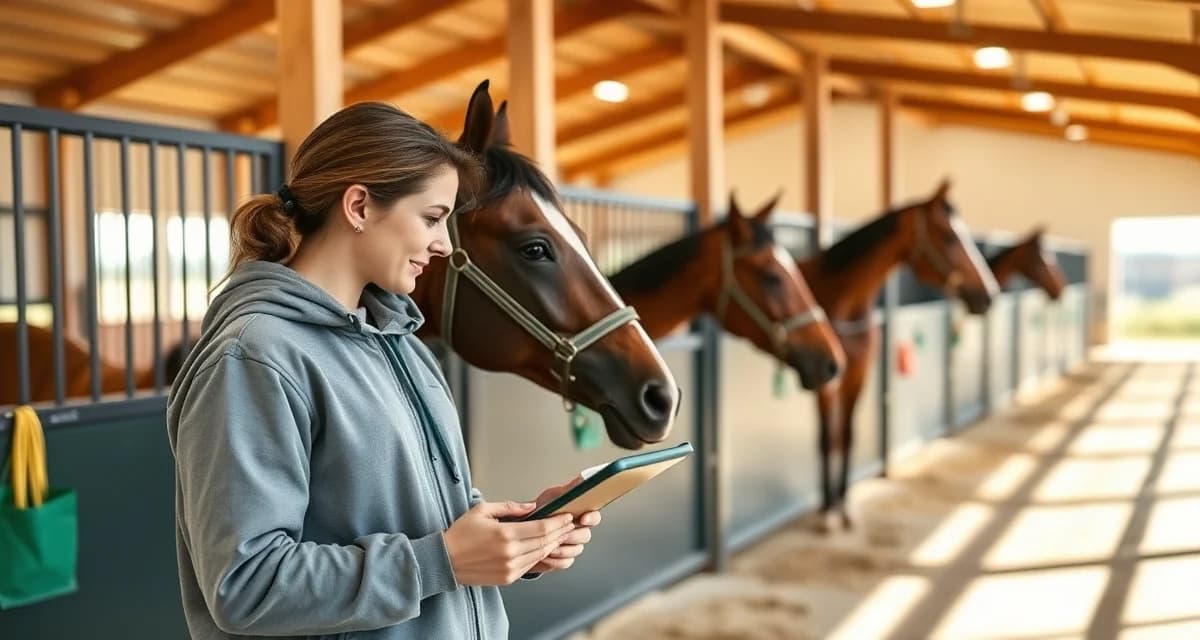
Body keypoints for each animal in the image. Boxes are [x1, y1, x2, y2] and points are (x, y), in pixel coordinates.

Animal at [796, 179, 1000, 531]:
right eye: (949, 236)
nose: (988, 294)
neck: (843, 301)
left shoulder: (859, 373)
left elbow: (847, 435)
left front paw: (845, 506)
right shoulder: (826, 378)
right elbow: (827, 438)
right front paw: (827, 511)